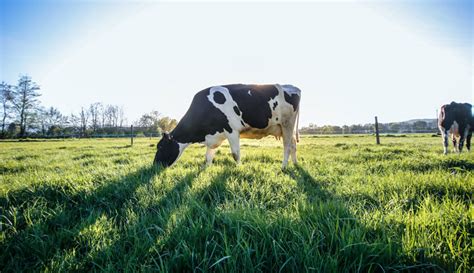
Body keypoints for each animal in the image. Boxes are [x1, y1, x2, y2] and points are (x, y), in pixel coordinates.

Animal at [153, 83, 300, 168]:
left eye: (160, 147)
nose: (154, 166)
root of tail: (292, 86)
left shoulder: (232, 130)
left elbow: (235, 154)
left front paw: (239, 168)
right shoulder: (213, 135)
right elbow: (208, 157)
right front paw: (206, 170)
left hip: (287, 123)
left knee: (287, 146)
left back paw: (284, 167)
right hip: (285, 127)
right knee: (293, 144)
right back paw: (295, 164)